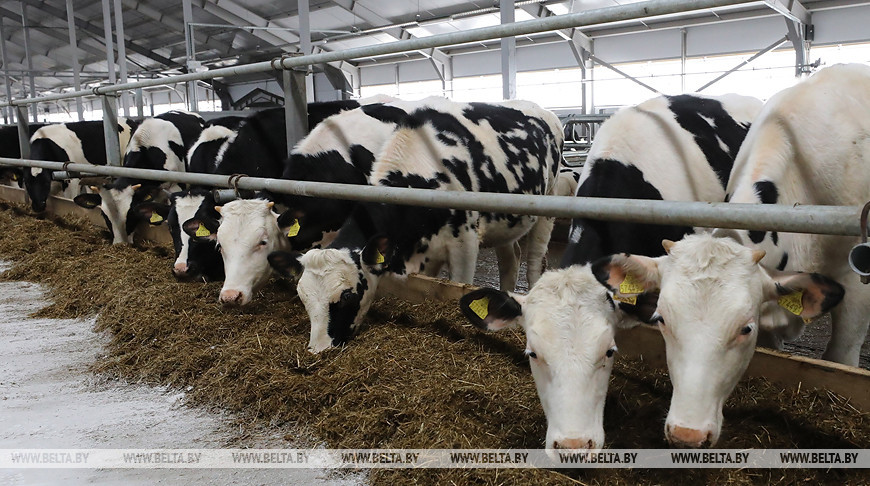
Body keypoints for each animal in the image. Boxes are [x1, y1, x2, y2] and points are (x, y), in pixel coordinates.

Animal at [270, 97, 564, 354]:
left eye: (347, 297)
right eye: (303, 298)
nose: (319, 350)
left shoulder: (465, 244)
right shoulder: (423, 251)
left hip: (548, 202)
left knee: (535, 261)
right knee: (510, 259)